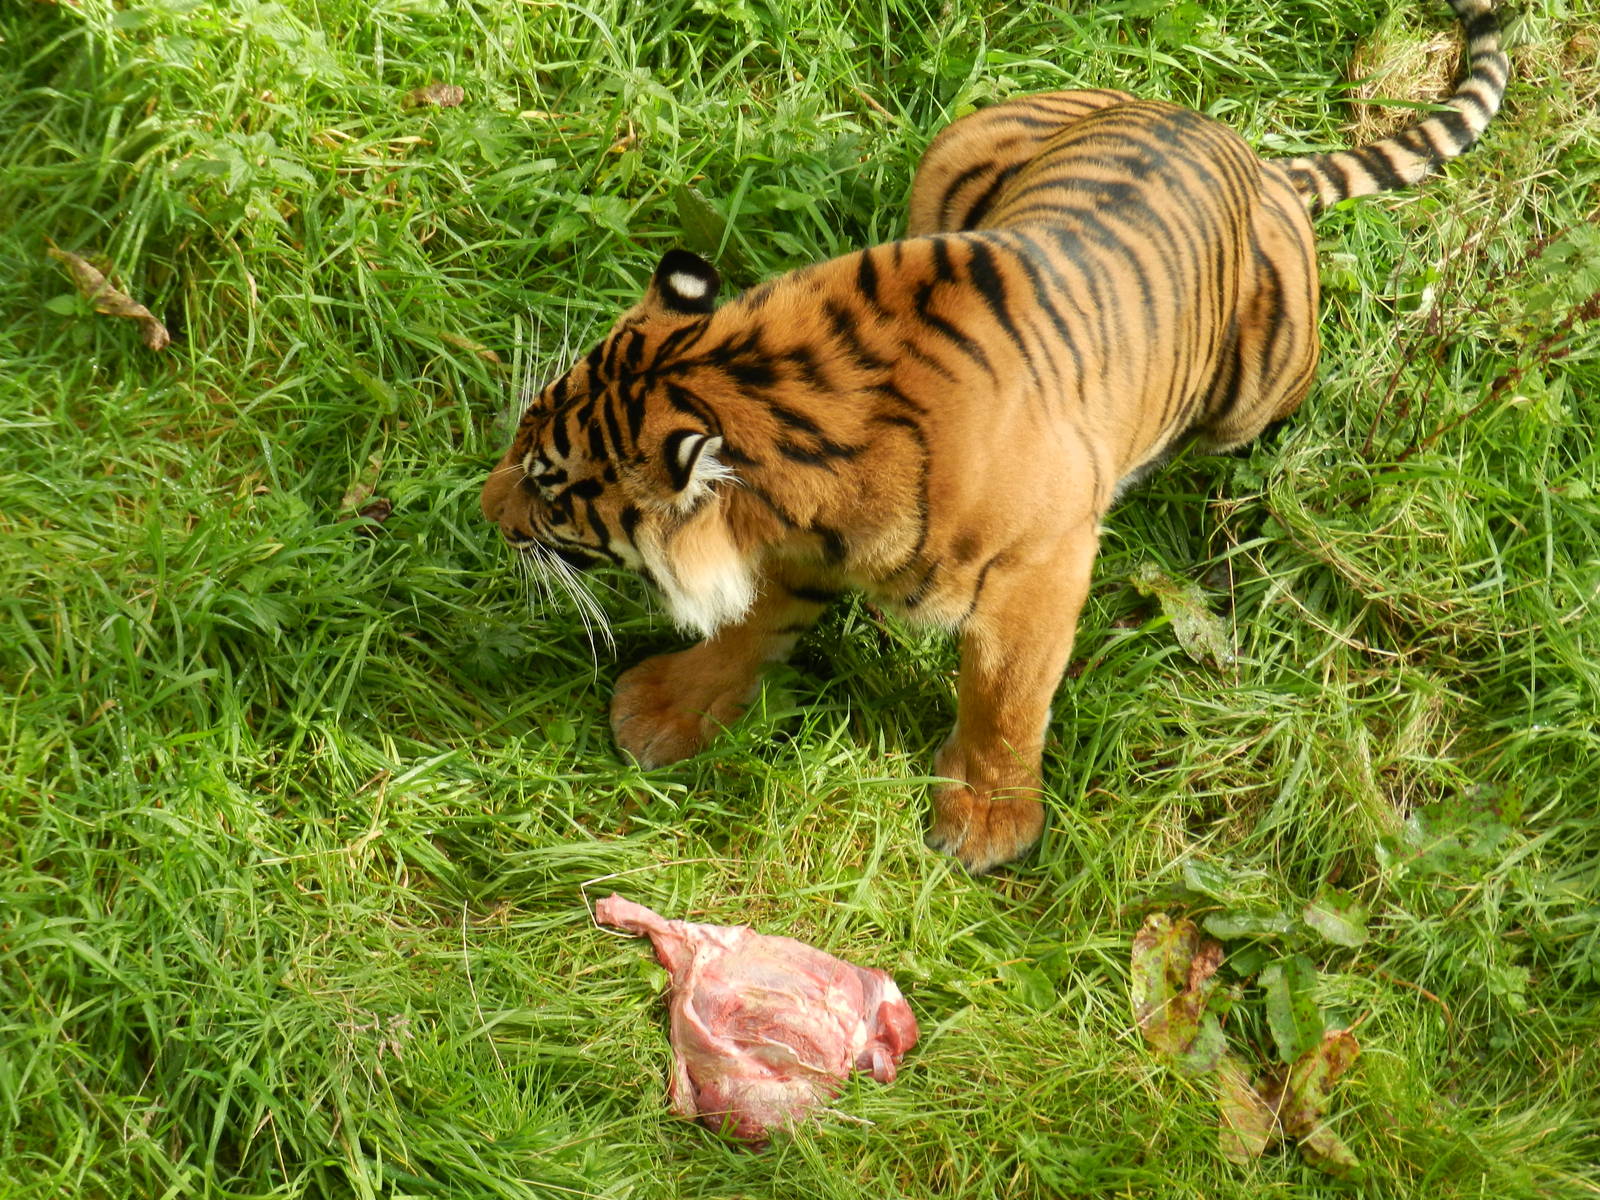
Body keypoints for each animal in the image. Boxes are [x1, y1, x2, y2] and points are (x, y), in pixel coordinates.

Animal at [480, 0, 1509, 873]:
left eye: (548, 482)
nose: (486, 513)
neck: (772, 395)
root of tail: (1254, 156)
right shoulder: (800, 540)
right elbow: (754, 621)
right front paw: (665, 712)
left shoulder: (1042, 564)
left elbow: (1008, 693)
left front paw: (986, 819)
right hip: (962, 139)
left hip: (1260, 389)